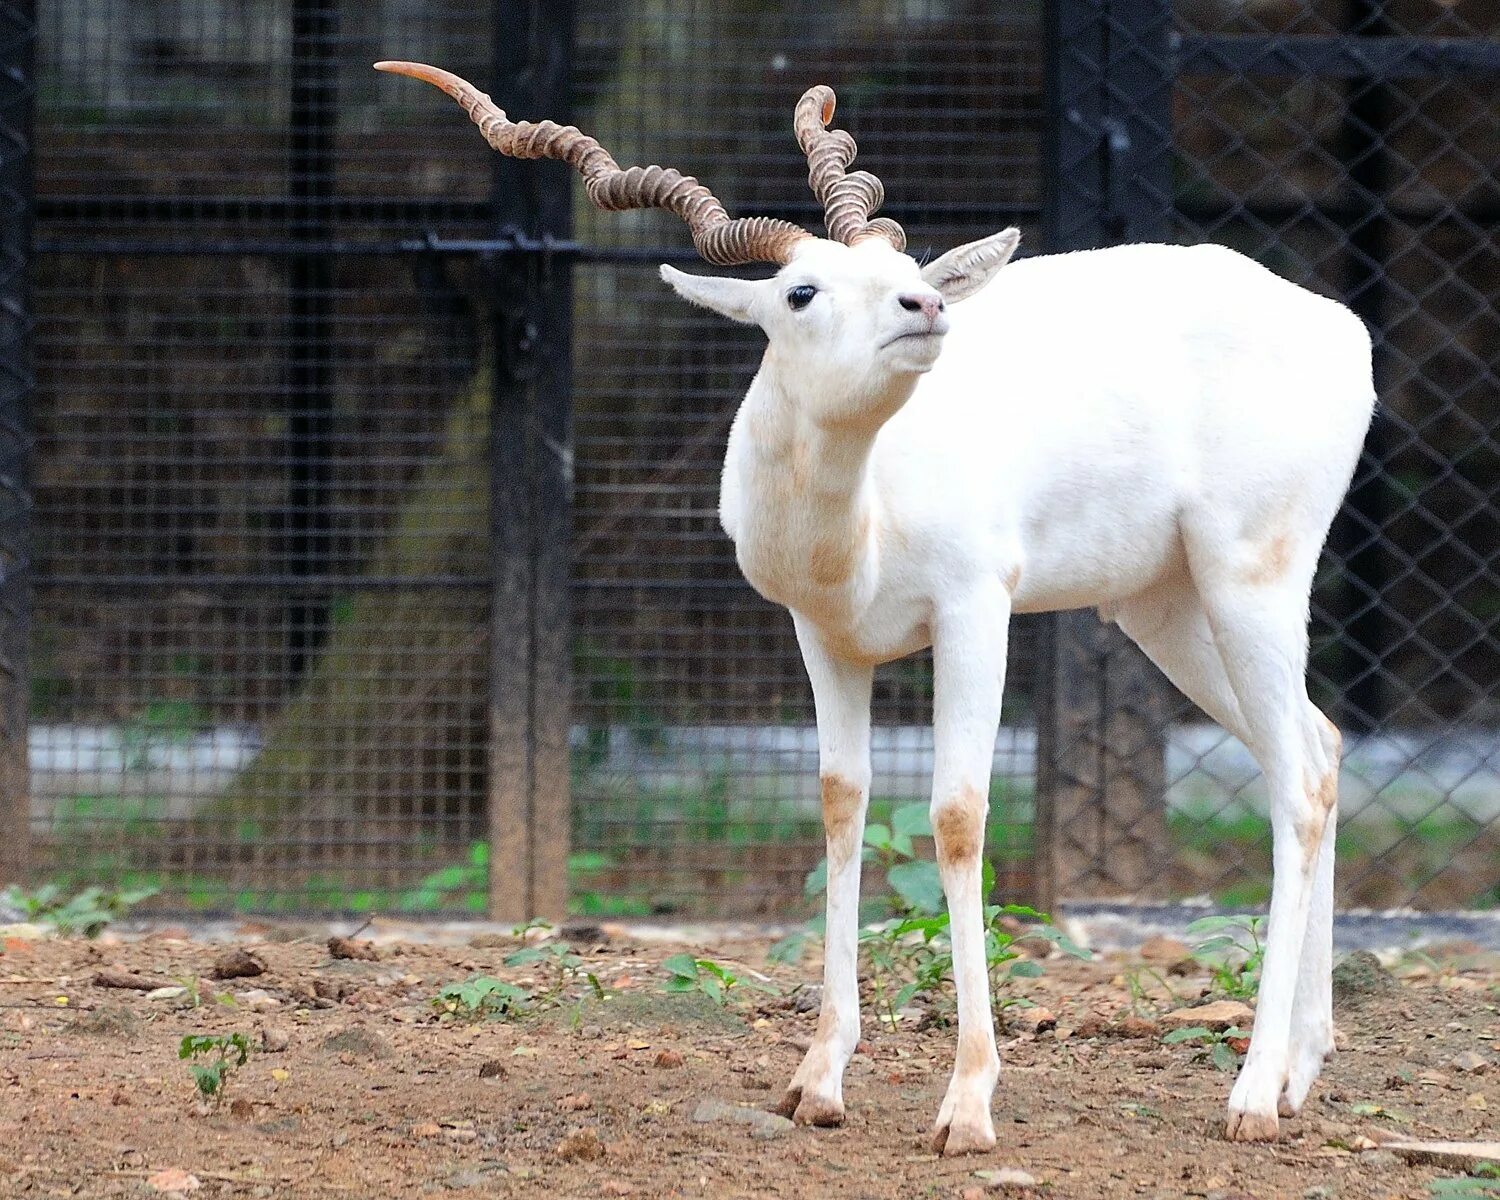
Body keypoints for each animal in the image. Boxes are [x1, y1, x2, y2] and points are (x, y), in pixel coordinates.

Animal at [378, 63, 1380, 1152]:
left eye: (898, 259)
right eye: (801, 290)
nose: (928, 302)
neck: (861, 516)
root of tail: (1340, 325)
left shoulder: (976, 613)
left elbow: (957, 816)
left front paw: (969, 1101)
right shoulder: (825, 638)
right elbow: (840, 805)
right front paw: (817, 1078)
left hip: (1250, 581)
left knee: (1299, 784)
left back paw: (1253, 1094)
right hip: (1166, 610)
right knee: (1319, 749)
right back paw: (1301, 1069)